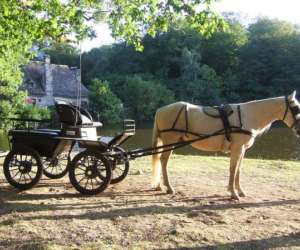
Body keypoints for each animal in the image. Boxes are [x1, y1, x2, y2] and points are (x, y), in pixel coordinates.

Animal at [152, 90, 300, 199]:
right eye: (295, 108)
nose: (299, 130)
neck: (247, 115)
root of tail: (160, 110)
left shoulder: (242, 150)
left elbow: (238, 169)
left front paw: (240, 191)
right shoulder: (237, 148)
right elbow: (233, 169)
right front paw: (233, 193)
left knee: (161, 160)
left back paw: (160, 186)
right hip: (170, 142)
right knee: (163, 161)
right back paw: (169, 187)